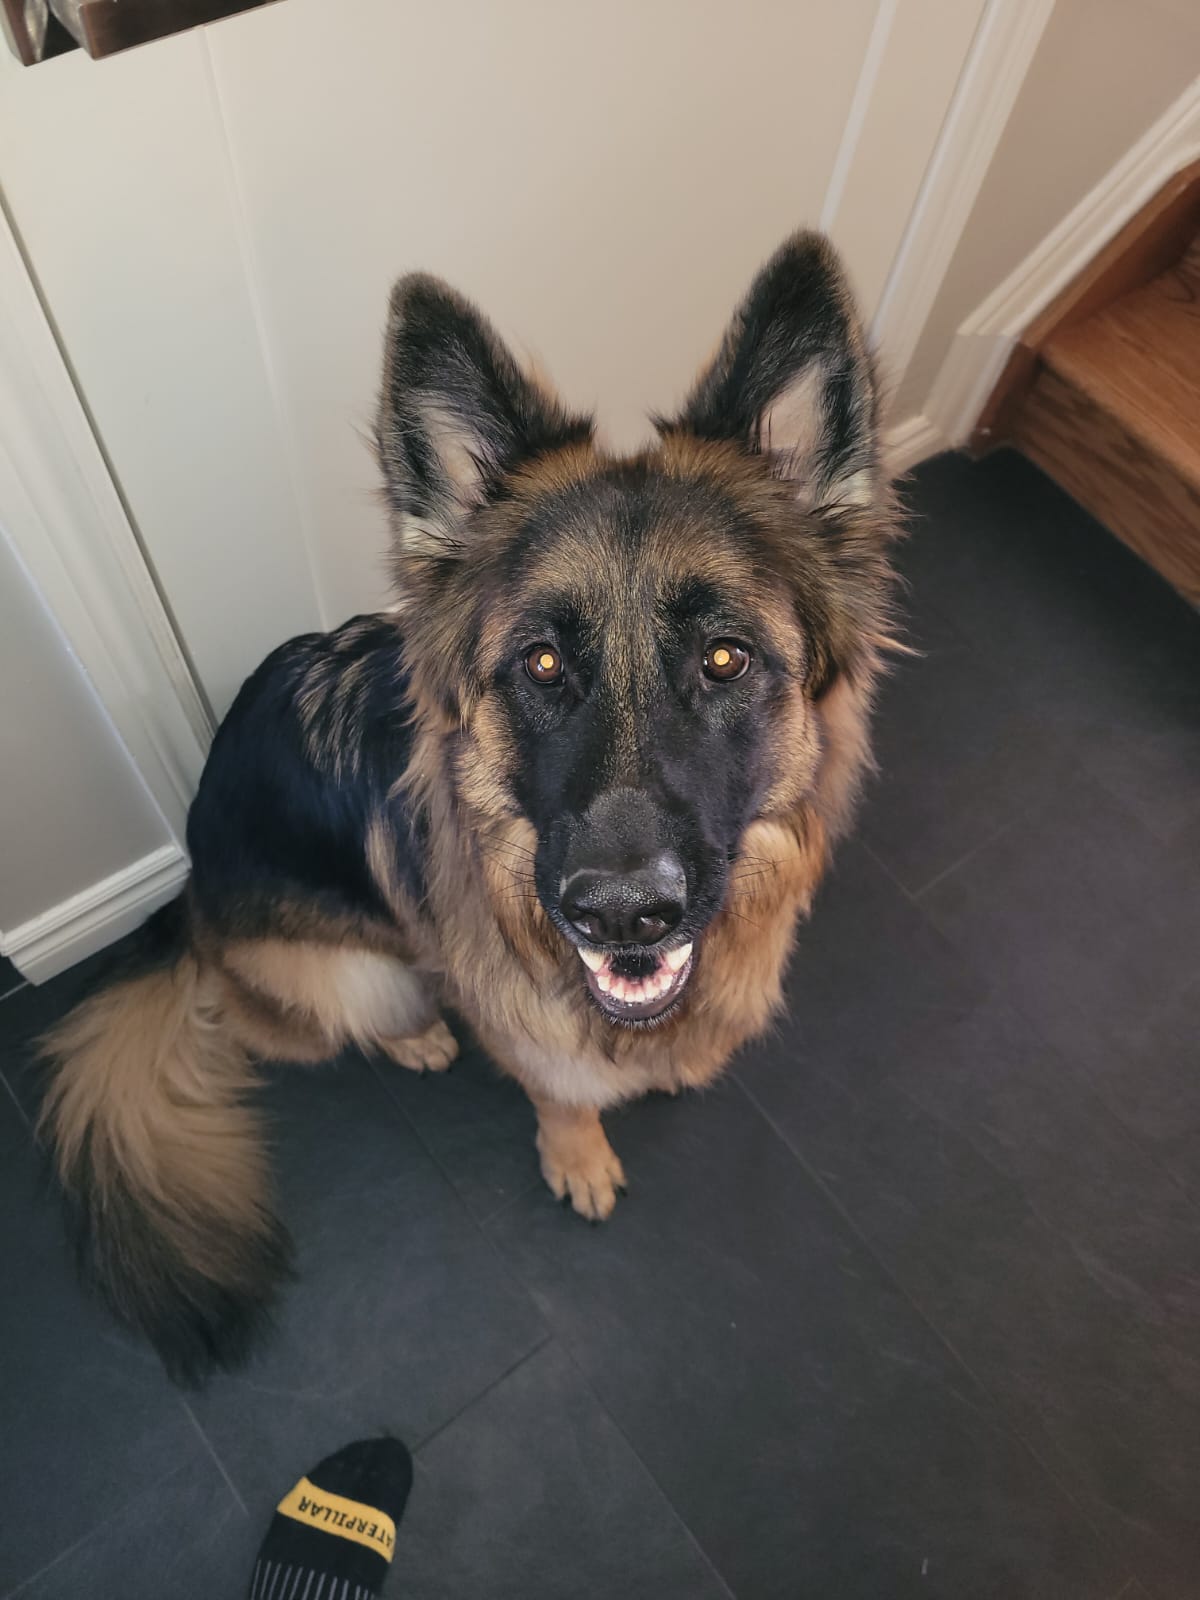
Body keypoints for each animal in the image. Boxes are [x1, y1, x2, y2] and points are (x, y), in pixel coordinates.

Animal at [39, 232, 900, 1382]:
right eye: (539, 663)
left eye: (725, 659)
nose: (622, 917)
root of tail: (183, 905)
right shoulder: (519, 1013)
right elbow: (559, 1088)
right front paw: (578, 1155)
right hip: (353, 971)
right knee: (284, 1017)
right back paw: (409, 1038)